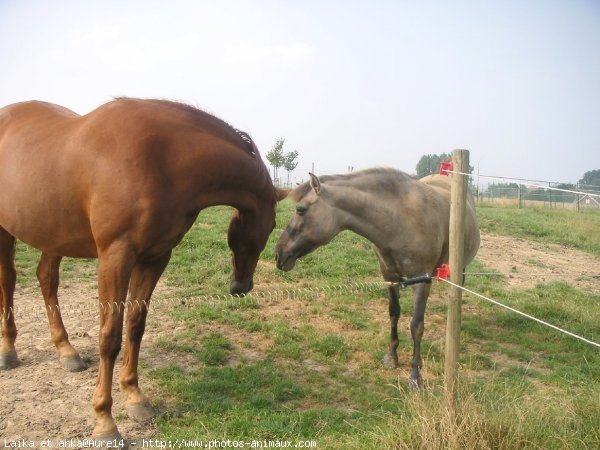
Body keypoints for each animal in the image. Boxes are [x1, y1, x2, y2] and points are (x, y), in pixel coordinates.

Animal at [0, 98, 288, 440]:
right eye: (272, 224)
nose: (241, 286)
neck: (163, 159)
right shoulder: (115, 256)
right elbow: (110, 336)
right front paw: (104, 420)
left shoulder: (155, 257)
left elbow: (135, 326)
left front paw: (135, 396)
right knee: (8, 282)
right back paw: (8, 350)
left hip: (53, 234)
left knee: (46, 279)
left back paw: (66, 351)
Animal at [276, 168, 478, 386]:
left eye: (301, 209)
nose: (279, 254)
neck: (400, 218)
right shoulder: (389, 275)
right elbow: (394, 313)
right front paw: (392, 356)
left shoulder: (421, 280)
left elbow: (416, 325)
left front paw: (415, 376)